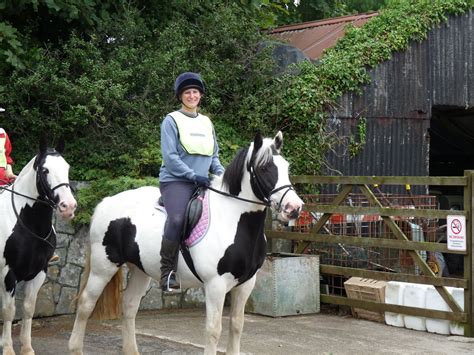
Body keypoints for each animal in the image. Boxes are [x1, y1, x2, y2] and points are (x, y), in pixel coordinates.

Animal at [0, 138, 76, 355]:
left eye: (67, 167)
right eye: (45, 170)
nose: (69, 206)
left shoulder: (39, 272)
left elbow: (28, 308)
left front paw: (26, 348)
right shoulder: (8, 273)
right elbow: (9, 311)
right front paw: (7, 348)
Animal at [68, 132, 302, 354]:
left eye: (286, 167)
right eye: (264, 168)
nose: (294, 208)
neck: (233, 219)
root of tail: (106, 202)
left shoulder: (245, 284)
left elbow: (236, 325)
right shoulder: (216, 285)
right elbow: (213, 330)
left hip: (140, 270)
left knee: (129, 305)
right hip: (103, 267)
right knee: (86, 304)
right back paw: (75, 348)